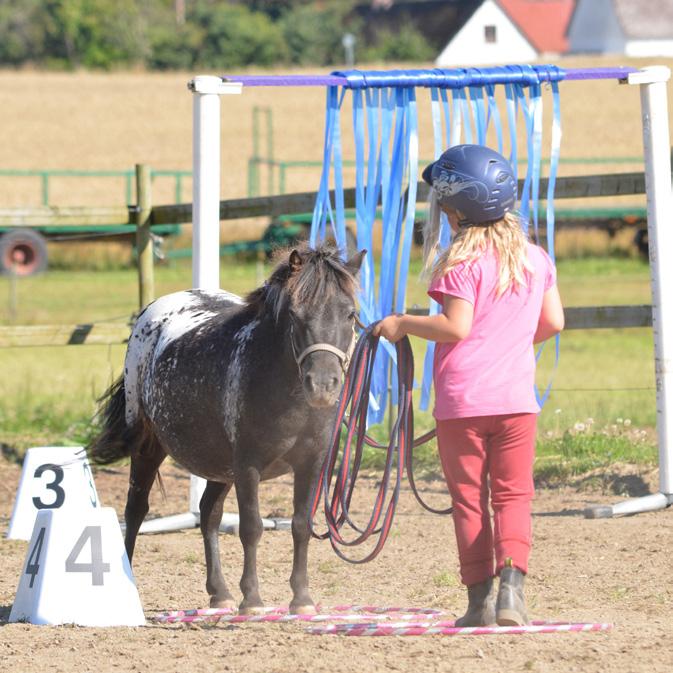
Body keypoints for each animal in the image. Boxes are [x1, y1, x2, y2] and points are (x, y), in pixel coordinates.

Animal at [89, 245, 364, 616]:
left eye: (350, 314)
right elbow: (251, 528)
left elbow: (300, 525)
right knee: (136, 509)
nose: (322, 385)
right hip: (149, 445)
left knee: (208, 514)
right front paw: (253, 599)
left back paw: (219, 592)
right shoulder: (248, 463)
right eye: (295, 315)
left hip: (218, 463)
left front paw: (302, 598)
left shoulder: (312, 462)